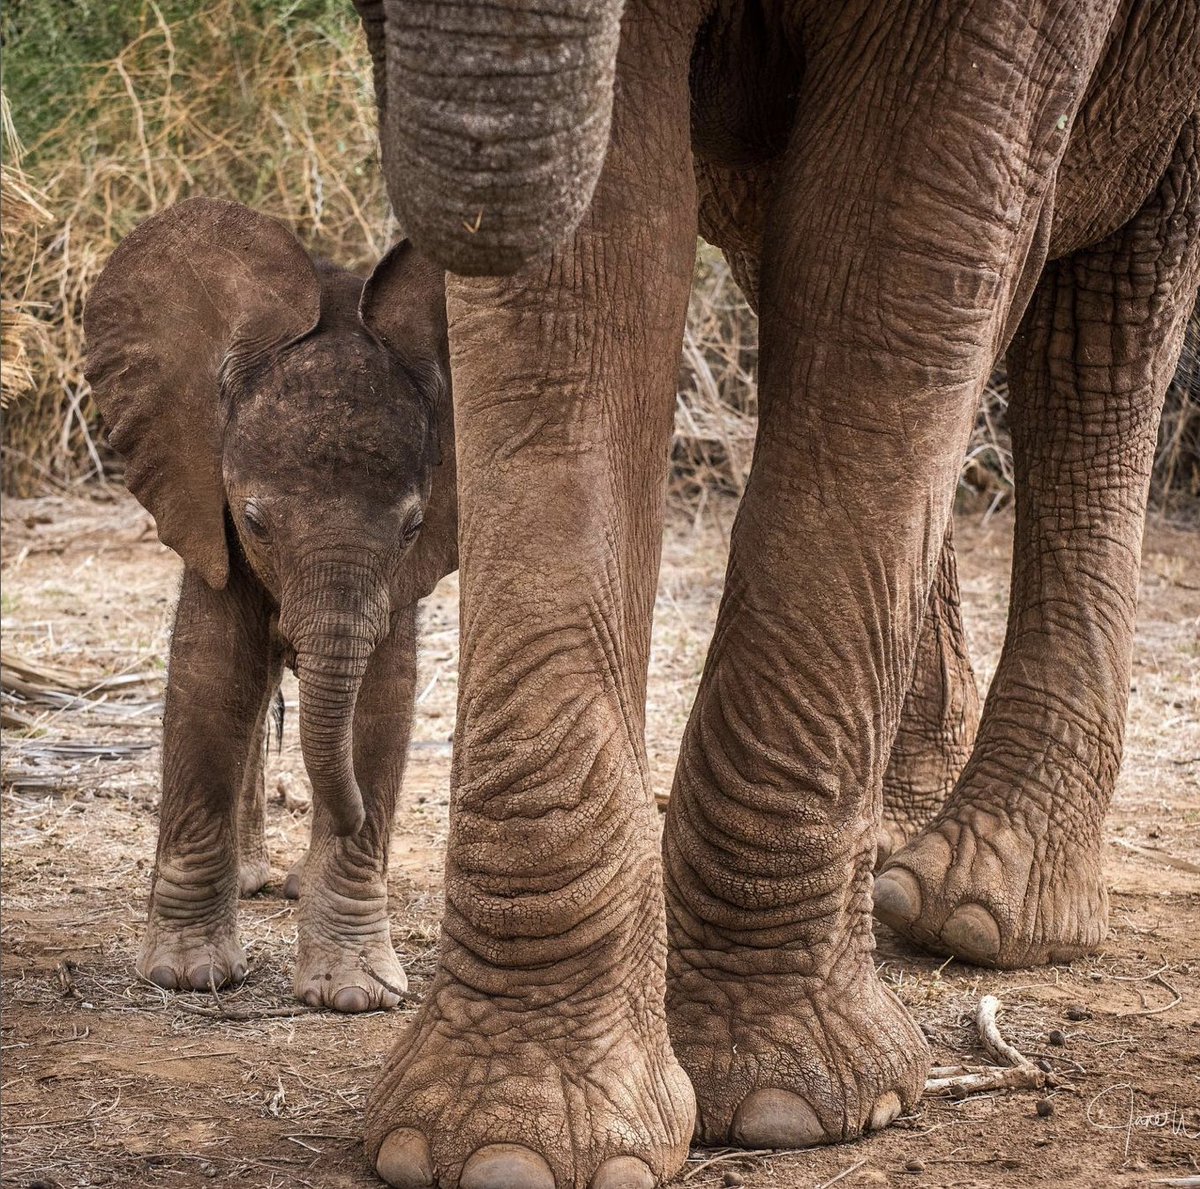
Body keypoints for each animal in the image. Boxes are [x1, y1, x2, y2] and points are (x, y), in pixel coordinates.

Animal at [84, 197, 456, 1012]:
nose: (353, 816)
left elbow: (381, 701)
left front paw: (354, 994)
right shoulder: (203, 502)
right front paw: (186, 976)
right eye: (254, 522)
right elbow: (213, 680)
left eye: (414, 526)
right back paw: (259, 880)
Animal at [350, 2, 1195, 1189]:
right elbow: (592, 282)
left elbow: (895, 249)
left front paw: (787, 1108)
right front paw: (504, 1149)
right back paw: (895, 845)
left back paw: (980, 910)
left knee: (1104, 326)